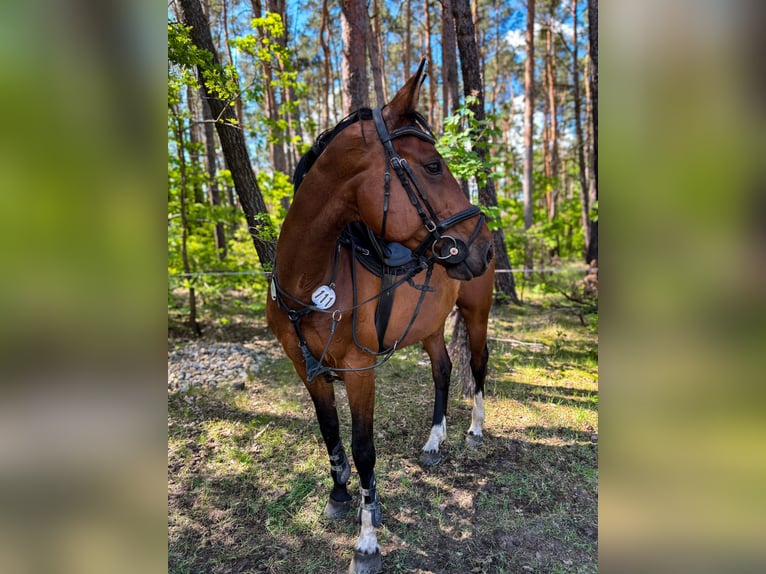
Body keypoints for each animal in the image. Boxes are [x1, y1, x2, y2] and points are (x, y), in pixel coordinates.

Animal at [265, 59, 495, 574]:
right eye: (433, 166)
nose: (484, 245)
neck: (310, 276)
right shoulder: (307, 369)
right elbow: (330, 434)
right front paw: (338, 495)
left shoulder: (359, 370)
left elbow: (364, 449)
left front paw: (367, 540)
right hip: (430, 326)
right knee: (442, 369)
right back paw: (434, 441)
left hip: (476, 314)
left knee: (477, 366)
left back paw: (473, 431)